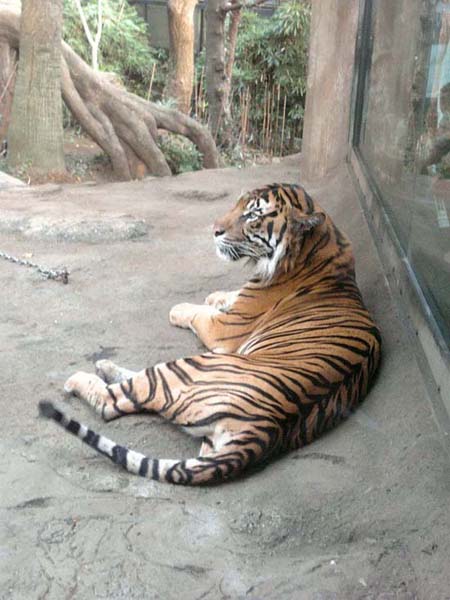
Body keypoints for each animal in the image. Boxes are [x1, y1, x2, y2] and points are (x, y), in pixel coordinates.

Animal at [40, 184, 382, 488]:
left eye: (252, 215)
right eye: (237, 204)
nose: (214, 230)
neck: (322, 243)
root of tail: (267, 429)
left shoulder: (225, 329)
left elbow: (197, 314)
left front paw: (180, 308)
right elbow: (227, 296)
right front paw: (215, 295)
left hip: (190, 366)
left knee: (115, 400)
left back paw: (82, 377)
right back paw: (105, 366)